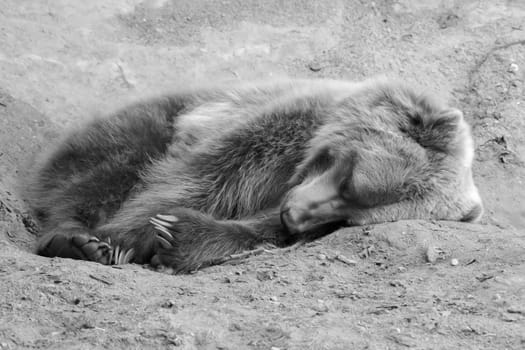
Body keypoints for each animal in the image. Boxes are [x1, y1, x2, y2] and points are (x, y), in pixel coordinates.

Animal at [25, 78, 484, 274]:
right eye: (351, 178)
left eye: (346, 221)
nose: (295, 216)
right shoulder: (275, 130)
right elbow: (204, 180)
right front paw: (122, 238)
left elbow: (256, 230)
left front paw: (178, 237)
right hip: (157, 120)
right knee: (106, 170)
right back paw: (75, 238)